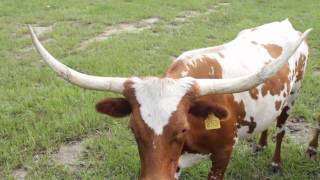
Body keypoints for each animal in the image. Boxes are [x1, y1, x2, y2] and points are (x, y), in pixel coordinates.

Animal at [28, 19, 312, 179]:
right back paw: (260, 145)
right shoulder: (172, 165)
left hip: (294, 93)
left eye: (182, 128)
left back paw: (275, 162)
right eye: (133, 129)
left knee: (282, 129)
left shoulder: (223, 153)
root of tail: (284, 23)